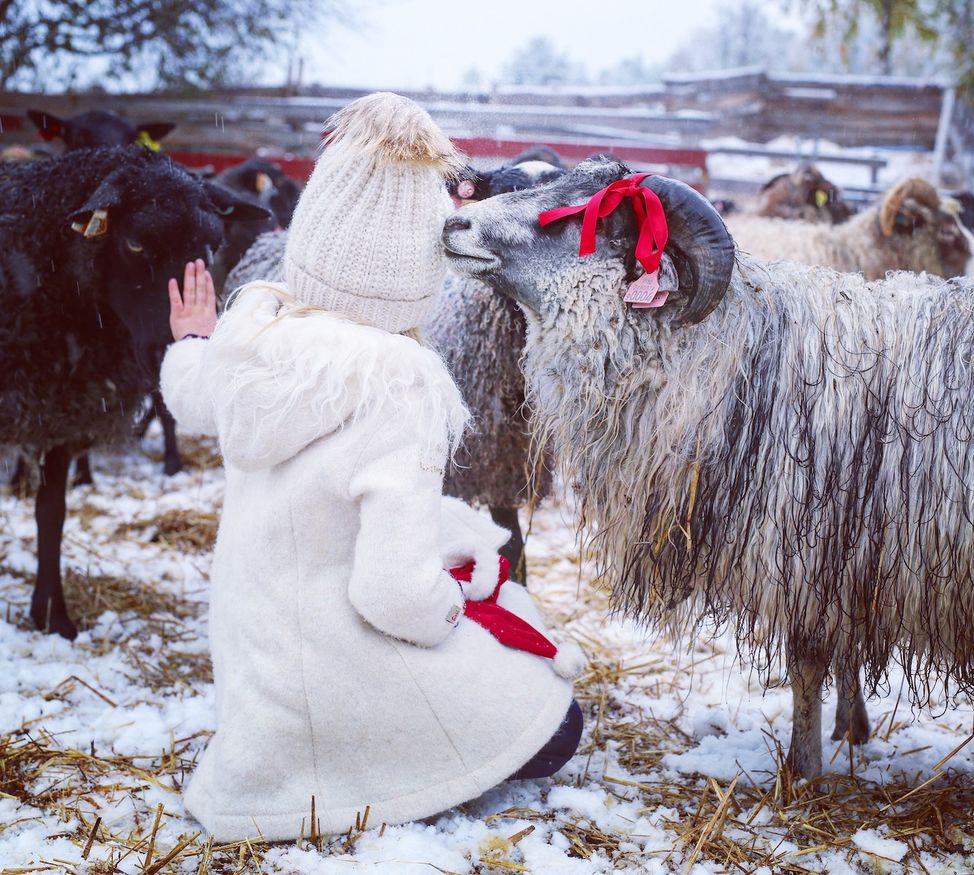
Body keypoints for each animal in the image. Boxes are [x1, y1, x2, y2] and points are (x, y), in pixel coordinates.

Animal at [0, 145, 264, 636]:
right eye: (135, 244)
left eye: (211, 246)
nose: (173, 347)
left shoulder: (61, 409)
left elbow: (52, 511)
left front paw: (52, 616)